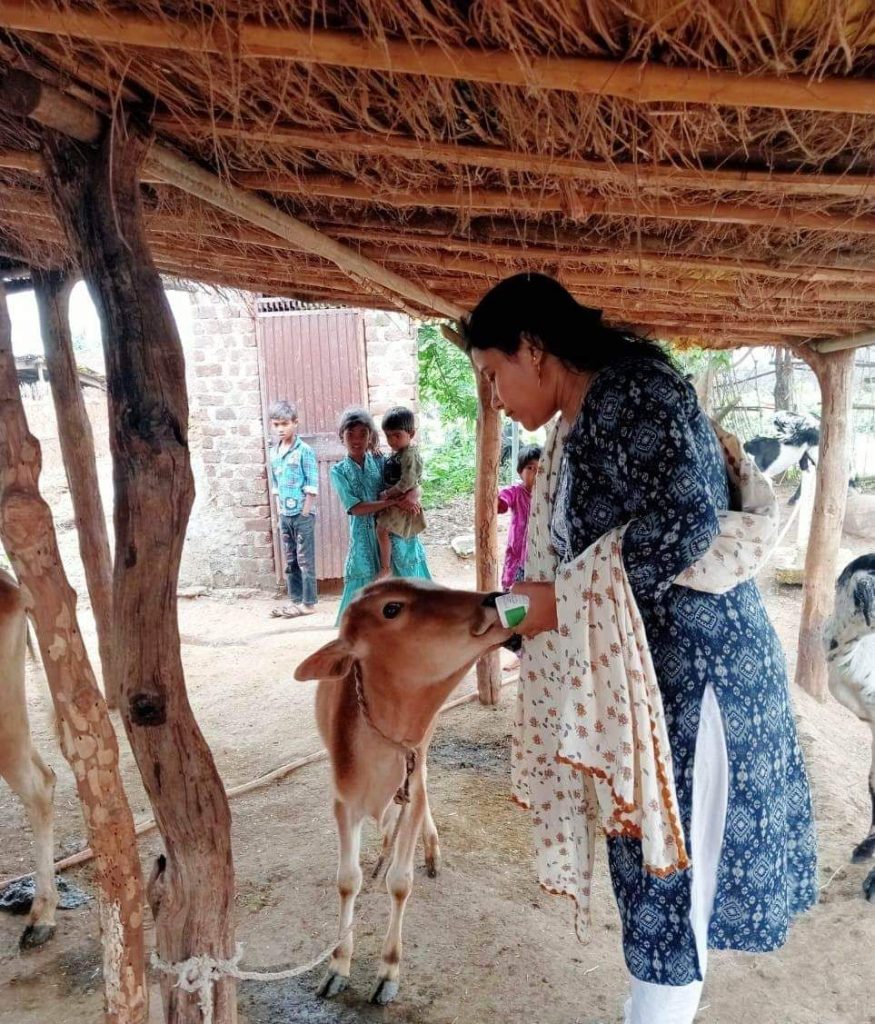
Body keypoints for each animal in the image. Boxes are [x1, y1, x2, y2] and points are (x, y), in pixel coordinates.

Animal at [297, 581, 510, 1003]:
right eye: (391, 609)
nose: (492, 598)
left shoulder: (412, 781)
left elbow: (400, 882)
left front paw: (388, 972)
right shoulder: (343, 803)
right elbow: (347, 880)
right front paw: (337, 965)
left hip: (424, 753)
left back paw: (429, 847)